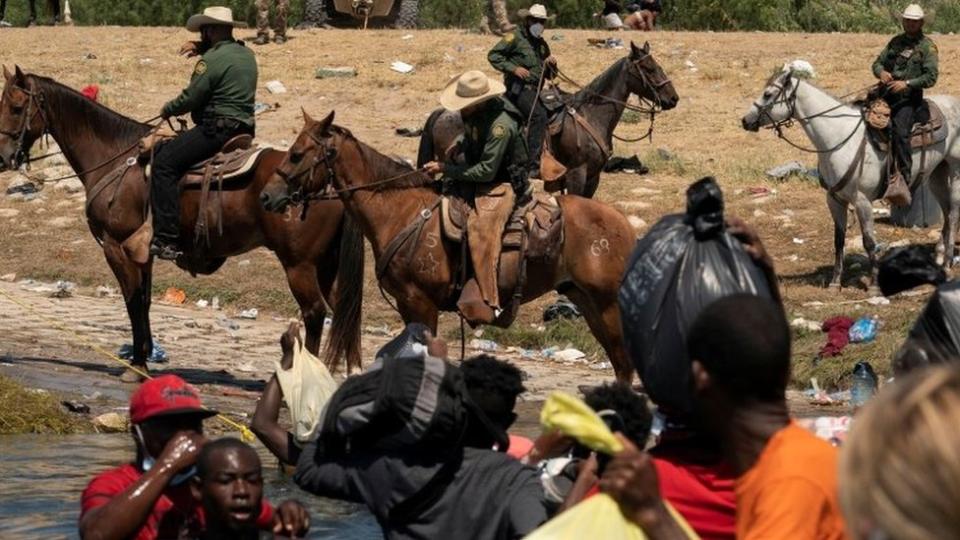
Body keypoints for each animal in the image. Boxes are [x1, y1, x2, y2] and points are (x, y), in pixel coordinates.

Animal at [0, 66, 364, 380]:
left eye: (16, 107)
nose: (4, 157)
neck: (116, 158)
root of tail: (329, 180)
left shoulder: (115, 246)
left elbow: (131, 301)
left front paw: (136, 365)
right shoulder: (142, 252)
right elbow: (144, 301)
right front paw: (144, 355)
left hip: (299, 265)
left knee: (314, 313)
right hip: (326, 267)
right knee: (344, 312)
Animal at [258, 112, 640, 384]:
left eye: (296, 155)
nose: (266, 196)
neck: (399, 211)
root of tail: (624, 226)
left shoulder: (421, 303)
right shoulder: (408, 305)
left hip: (607, 304)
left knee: (625, 364)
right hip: (586, 301)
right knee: (621, 365)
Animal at [416, 41, 680, 198]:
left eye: (657, 65)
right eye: (649, 68)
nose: (673, 98)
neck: (591, 115)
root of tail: (442, 112)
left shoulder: (593, 177)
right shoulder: (577, 173)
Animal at [748, 67, 960, 292]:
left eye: (768, 94)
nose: (745, 120)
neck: (838, 138)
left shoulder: (862, 200)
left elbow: (869, 241)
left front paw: (874, 283)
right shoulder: (834, 199)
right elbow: (839, 240)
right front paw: (835, 282)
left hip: (956, 171)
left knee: (954, 213)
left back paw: (947, 262)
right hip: (937, 173)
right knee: (947, 213)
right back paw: (938, 256)